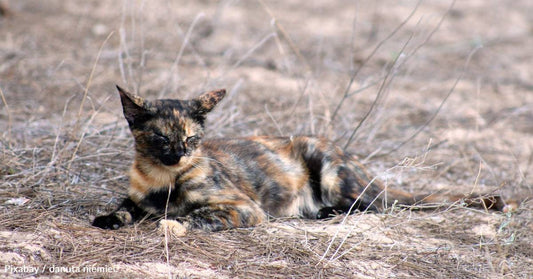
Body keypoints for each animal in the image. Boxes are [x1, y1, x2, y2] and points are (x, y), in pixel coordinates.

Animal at [92, 86, 512, 234]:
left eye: (192, 139)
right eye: (162, 138)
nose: (180, 155)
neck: (162, 180)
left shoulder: (244, 207)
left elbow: (196, 215)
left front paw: (174, 223)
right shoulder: (137, 196)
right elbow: (126, 206)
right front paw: (110, 218)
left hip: (325, 164)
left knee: (372, 205)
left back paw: (324, 212)